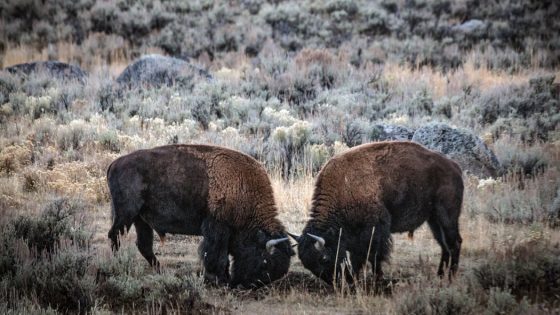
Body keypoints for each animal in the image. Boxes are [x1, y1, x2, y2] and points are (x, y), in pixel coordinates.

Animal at [106, 145, 296, 288]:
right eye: (265, 262)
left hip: (141, 219)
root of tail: (114, 163)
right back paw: (117, 263)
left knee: (143, 245)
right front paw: (220, 279)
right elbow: (216, 255)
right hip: (126, 213)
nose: (249, 285)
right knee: (114, 235)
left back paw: (161, 270)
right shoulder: (217, 228)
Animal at [290, 142, 462, 286]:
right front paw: (355, 278)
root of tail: (454, 166)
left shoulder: (375, 231)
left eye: (324, 258)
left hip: (447, 216)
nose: (334, 282)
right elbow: (358, 257)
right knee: (444, 245)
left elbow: (373, 256)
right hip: (433, 220)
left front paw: (376, 279)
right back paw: (440, 275)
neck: (343, 188)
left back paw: (451, 278)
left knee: (454, 243)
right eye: (306, 264)